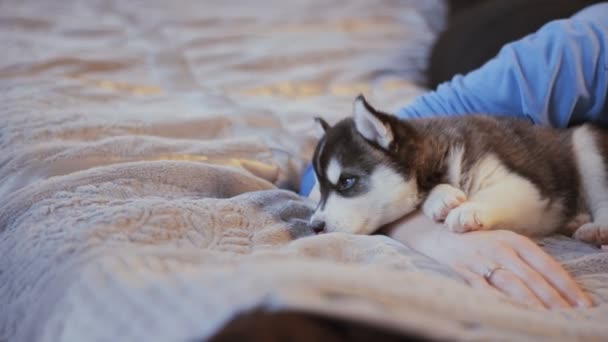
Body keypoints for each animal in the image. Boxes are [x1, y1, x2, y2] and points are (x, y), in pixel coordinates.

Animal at [308, 93, 608, 244]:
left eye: (346, 182)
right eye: (320, 190)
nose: (314, 226)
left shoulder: (527, 186)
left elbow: (497, 193)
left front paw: (468, 209)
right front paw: (440, 198)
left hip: (586, 144)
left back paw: (595, 228)